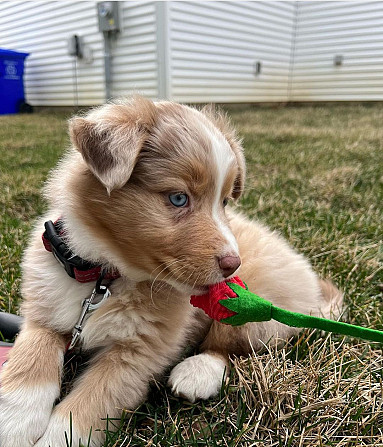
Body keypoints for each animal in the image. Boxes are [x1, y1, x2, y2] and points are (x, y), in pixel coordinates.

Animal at [0, 99, 342, 447]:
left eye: (224, 202)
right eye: (178, 198)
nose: (233, 264)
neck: (104, 277)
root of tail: (310, 284)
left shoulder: (136, 356)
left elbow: (86, 407)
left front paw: (53, 438)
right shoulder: (44, 312)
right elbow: (30, 359)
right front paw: (14, 422)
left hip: (252, 302)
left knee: (226, 347)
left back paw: (196, 373)